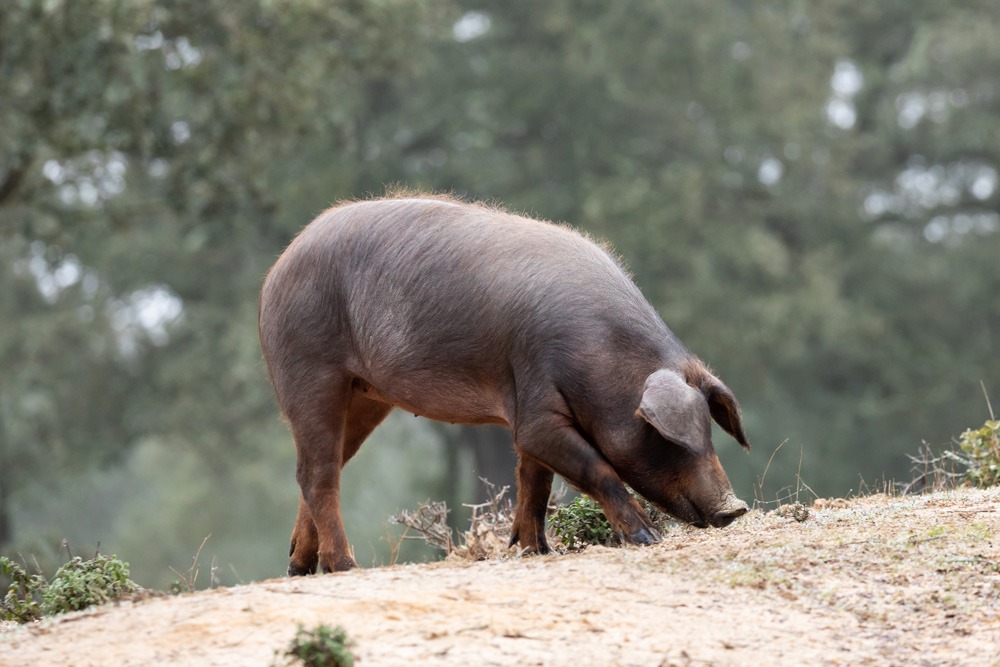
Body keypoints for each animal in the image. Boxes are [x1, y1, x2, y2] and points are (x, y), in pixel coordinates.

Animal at [258, 193, 752, 576]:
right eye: (666, 436)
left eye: (710, 430)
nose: (735, 507)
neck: (602, 360)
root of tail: (277, 268)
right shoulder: (537, 412)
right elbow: (594, 467)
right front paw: (647, 537)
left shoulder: (532, 414)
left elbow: (535, 482)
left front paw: (536, 550)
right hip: (309, 370)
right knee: (318, 473)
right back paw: (345, 567)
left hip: (365, 395)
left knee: (326, 466)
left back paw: (300, 567)